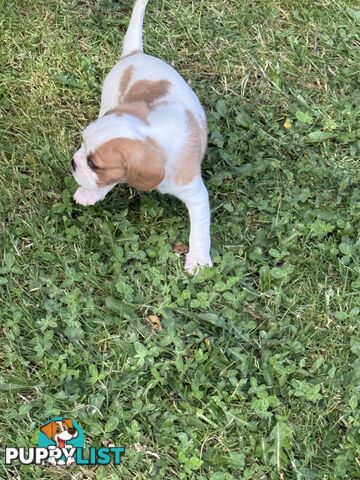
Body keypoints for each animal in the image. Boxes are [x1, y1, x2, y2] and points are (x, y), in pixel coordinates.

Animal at [72, 0, 211, 274]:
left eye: (95, 164)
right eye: (82, 143)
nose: (73, 162)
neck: (153, 134)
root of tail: (135, 53)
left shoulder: (196, 194)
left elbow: (200, 230)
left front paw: (199, 260)